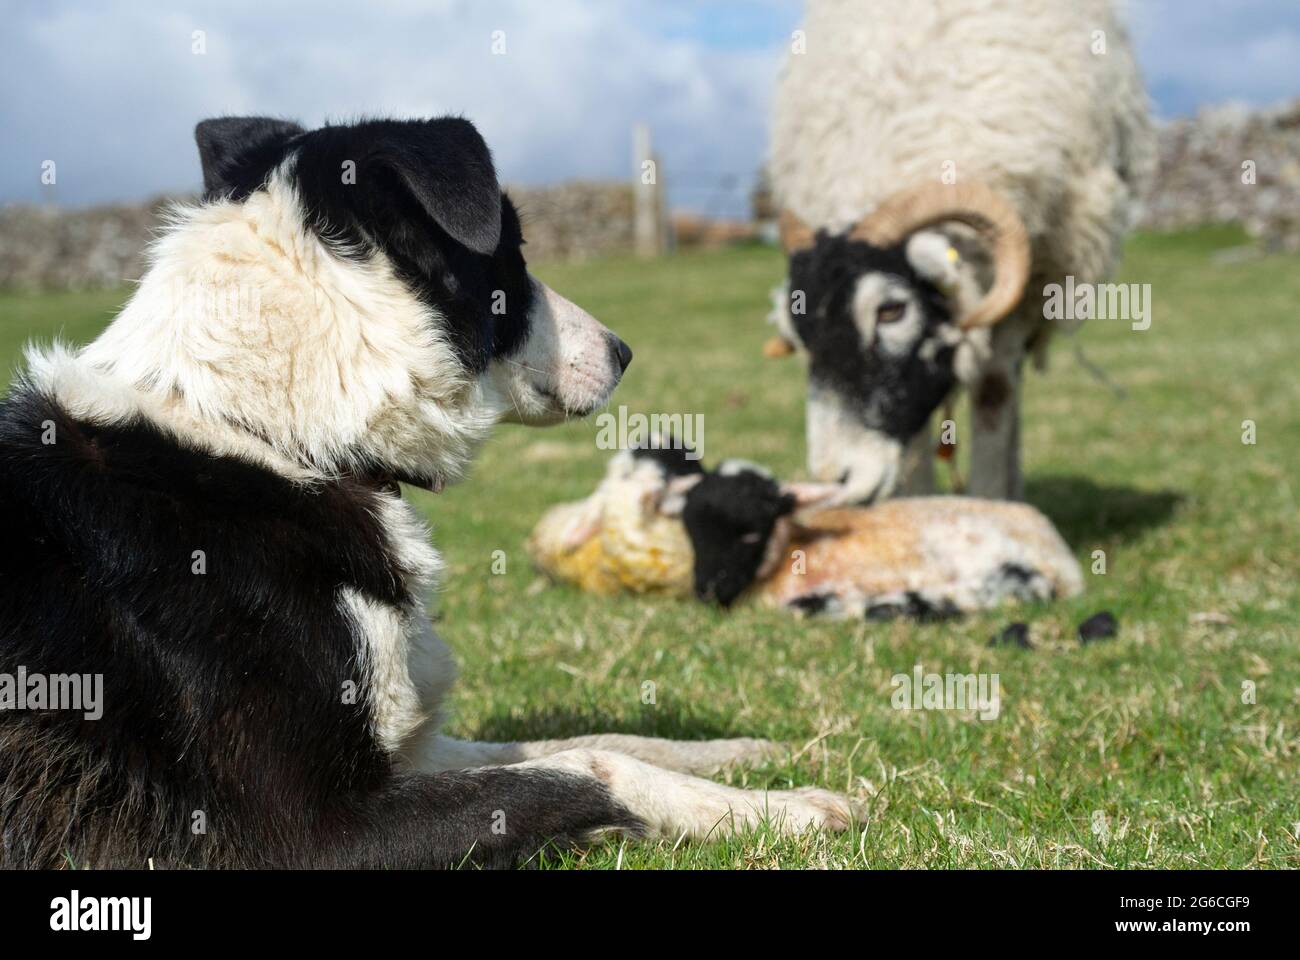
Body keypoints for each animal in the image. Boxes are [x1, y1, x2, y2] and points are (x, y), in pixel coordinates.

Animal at [0, 115, 857, 863]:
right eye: (514, 251)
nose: (623, 352)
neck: (270, 435)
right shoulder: (296, 835)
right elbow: (584, 769)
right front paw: (775, 810)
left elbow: (579, 743)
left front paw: (733, 754)